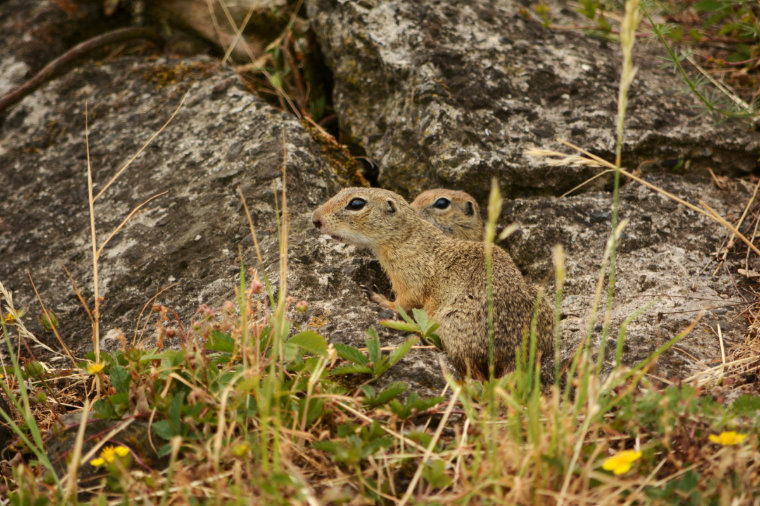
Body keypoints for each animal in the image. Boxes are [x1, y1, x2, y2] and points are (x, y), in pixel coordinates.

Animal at [312, 188, 556, 382]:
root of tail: (516, 355)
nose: (315, 219)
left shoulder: (409, 279)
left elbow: (402, 302)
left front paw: (378, 297)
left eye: (356, 203)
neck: (406, 237)